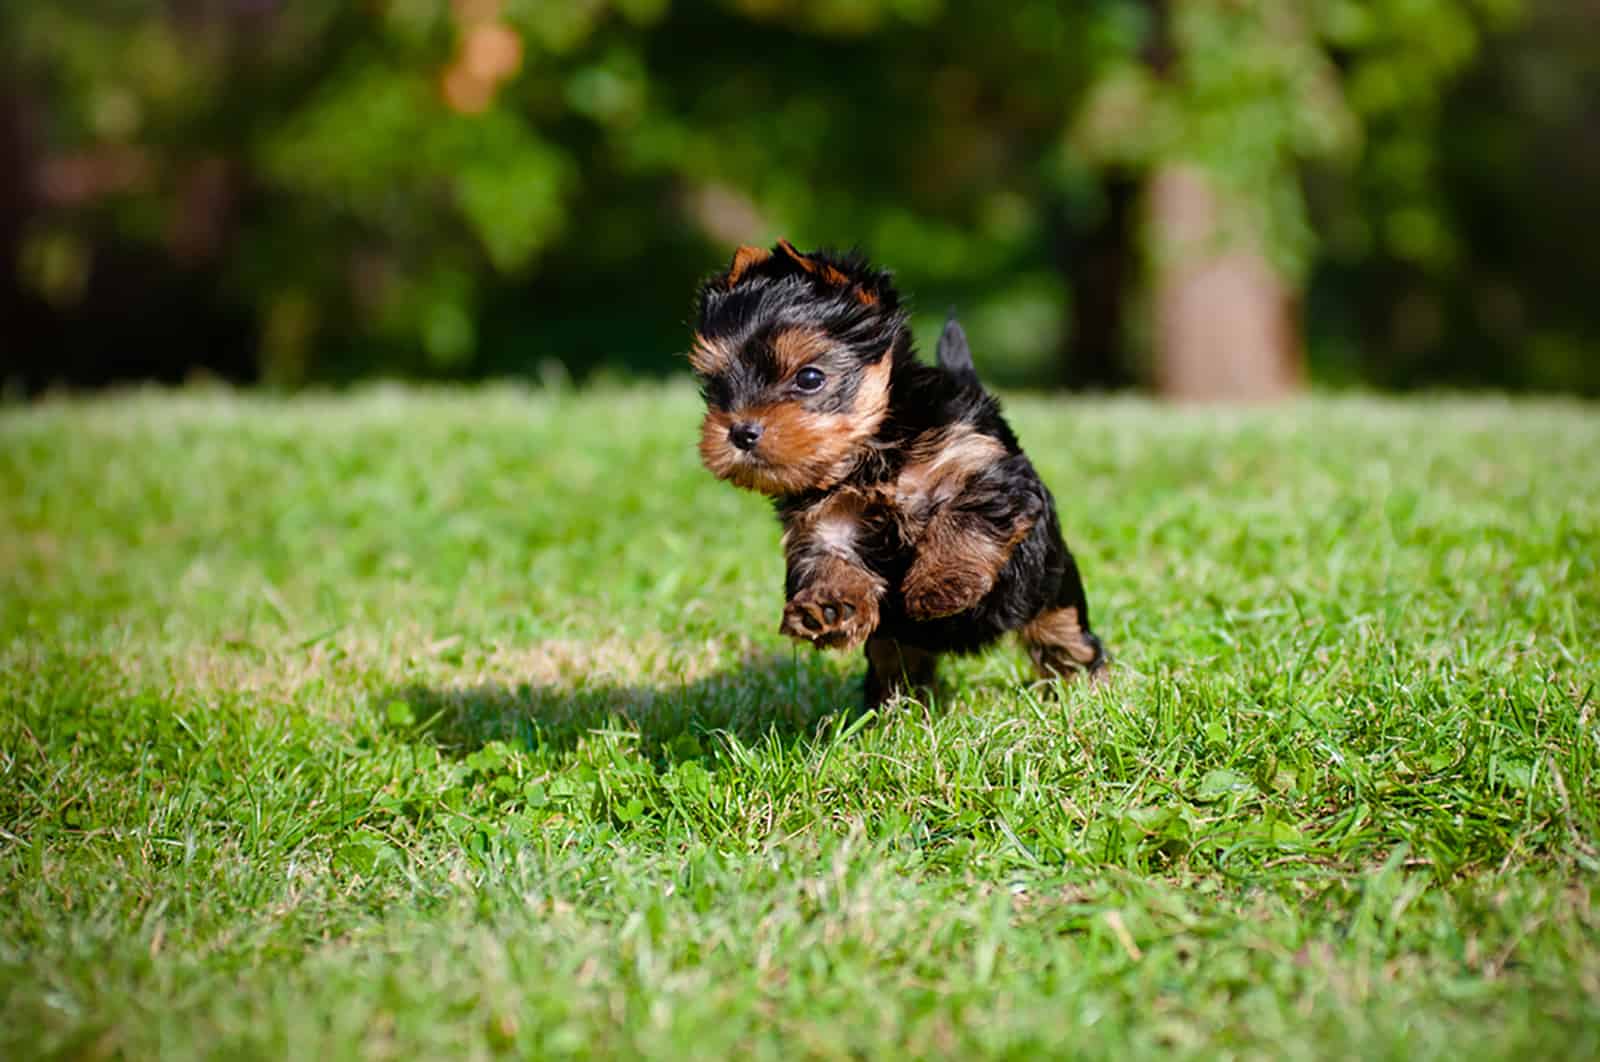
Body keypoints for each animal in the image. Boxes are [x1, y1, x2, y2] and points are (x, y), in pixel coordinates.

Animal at [688, 239, 1113, 703]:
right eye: (715, 386)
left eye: (810, 377)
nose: (740, 432)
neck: (872, 453)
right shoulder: (824, 521)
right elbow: (828, 560)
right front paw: (826, 607)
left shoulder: (991, 471)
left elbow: (967, 516)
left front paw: (941, 583)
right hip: (896, 642)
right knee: (897, 662)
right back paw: (898, 709)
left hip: (1052, 592)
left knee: (1065, 639)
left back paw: (1083, 691)